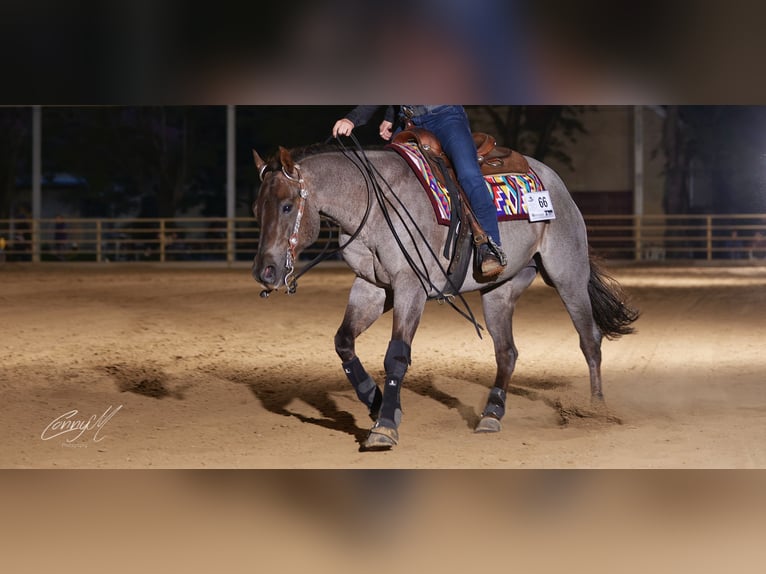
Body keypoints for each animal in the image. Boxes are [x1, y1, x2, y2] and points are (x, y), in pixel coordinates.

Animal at [251, 141, 639, 450]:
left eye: (287, 206)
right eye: (257, 210)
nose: (264, 271)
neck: (376, 204)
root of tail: (556, 184)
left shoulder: (410, 286)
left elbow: (396, 356)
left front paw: (385, 426)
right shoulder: (371, 286)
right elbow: (344, 342)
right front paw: (376, 402)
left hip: (568, 275)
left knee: (589, 340)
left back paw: (595, 410)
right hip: (499, 292)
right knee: (507, 353)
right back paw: (491, 414)